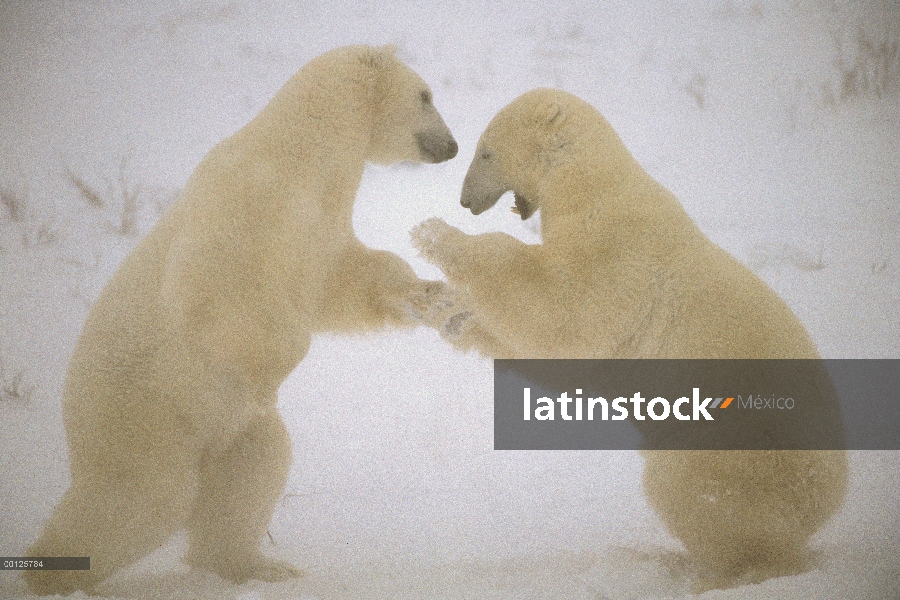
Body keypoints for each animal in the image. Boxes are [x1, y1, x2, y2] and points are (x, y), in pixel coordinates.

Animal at [24, 43, 460, 596]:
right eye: (425, 95)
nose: (452, 146)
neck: (301, 154)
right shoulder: (244, 208)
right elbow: (221, 296)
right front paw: (283, 359)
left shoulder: (321, 226)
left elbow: (344, 281)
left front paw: (435, 297)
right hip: (145, 415)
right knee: (140, 499)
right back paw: (54, 574)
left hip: (227, 432)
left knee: (252, 471)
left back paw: (260, 566)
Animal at [412, 88, 848, 592]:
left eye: (486, 152)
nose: (465, 202)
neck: (592, 186)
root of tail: (829, 500)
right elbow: (537, 347)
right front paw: (437, 305)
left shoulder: (615, 253)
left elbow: (561, 316)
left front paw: (432, 234)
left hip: (732, 448)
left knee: (699, 498)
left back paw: (718, 573)